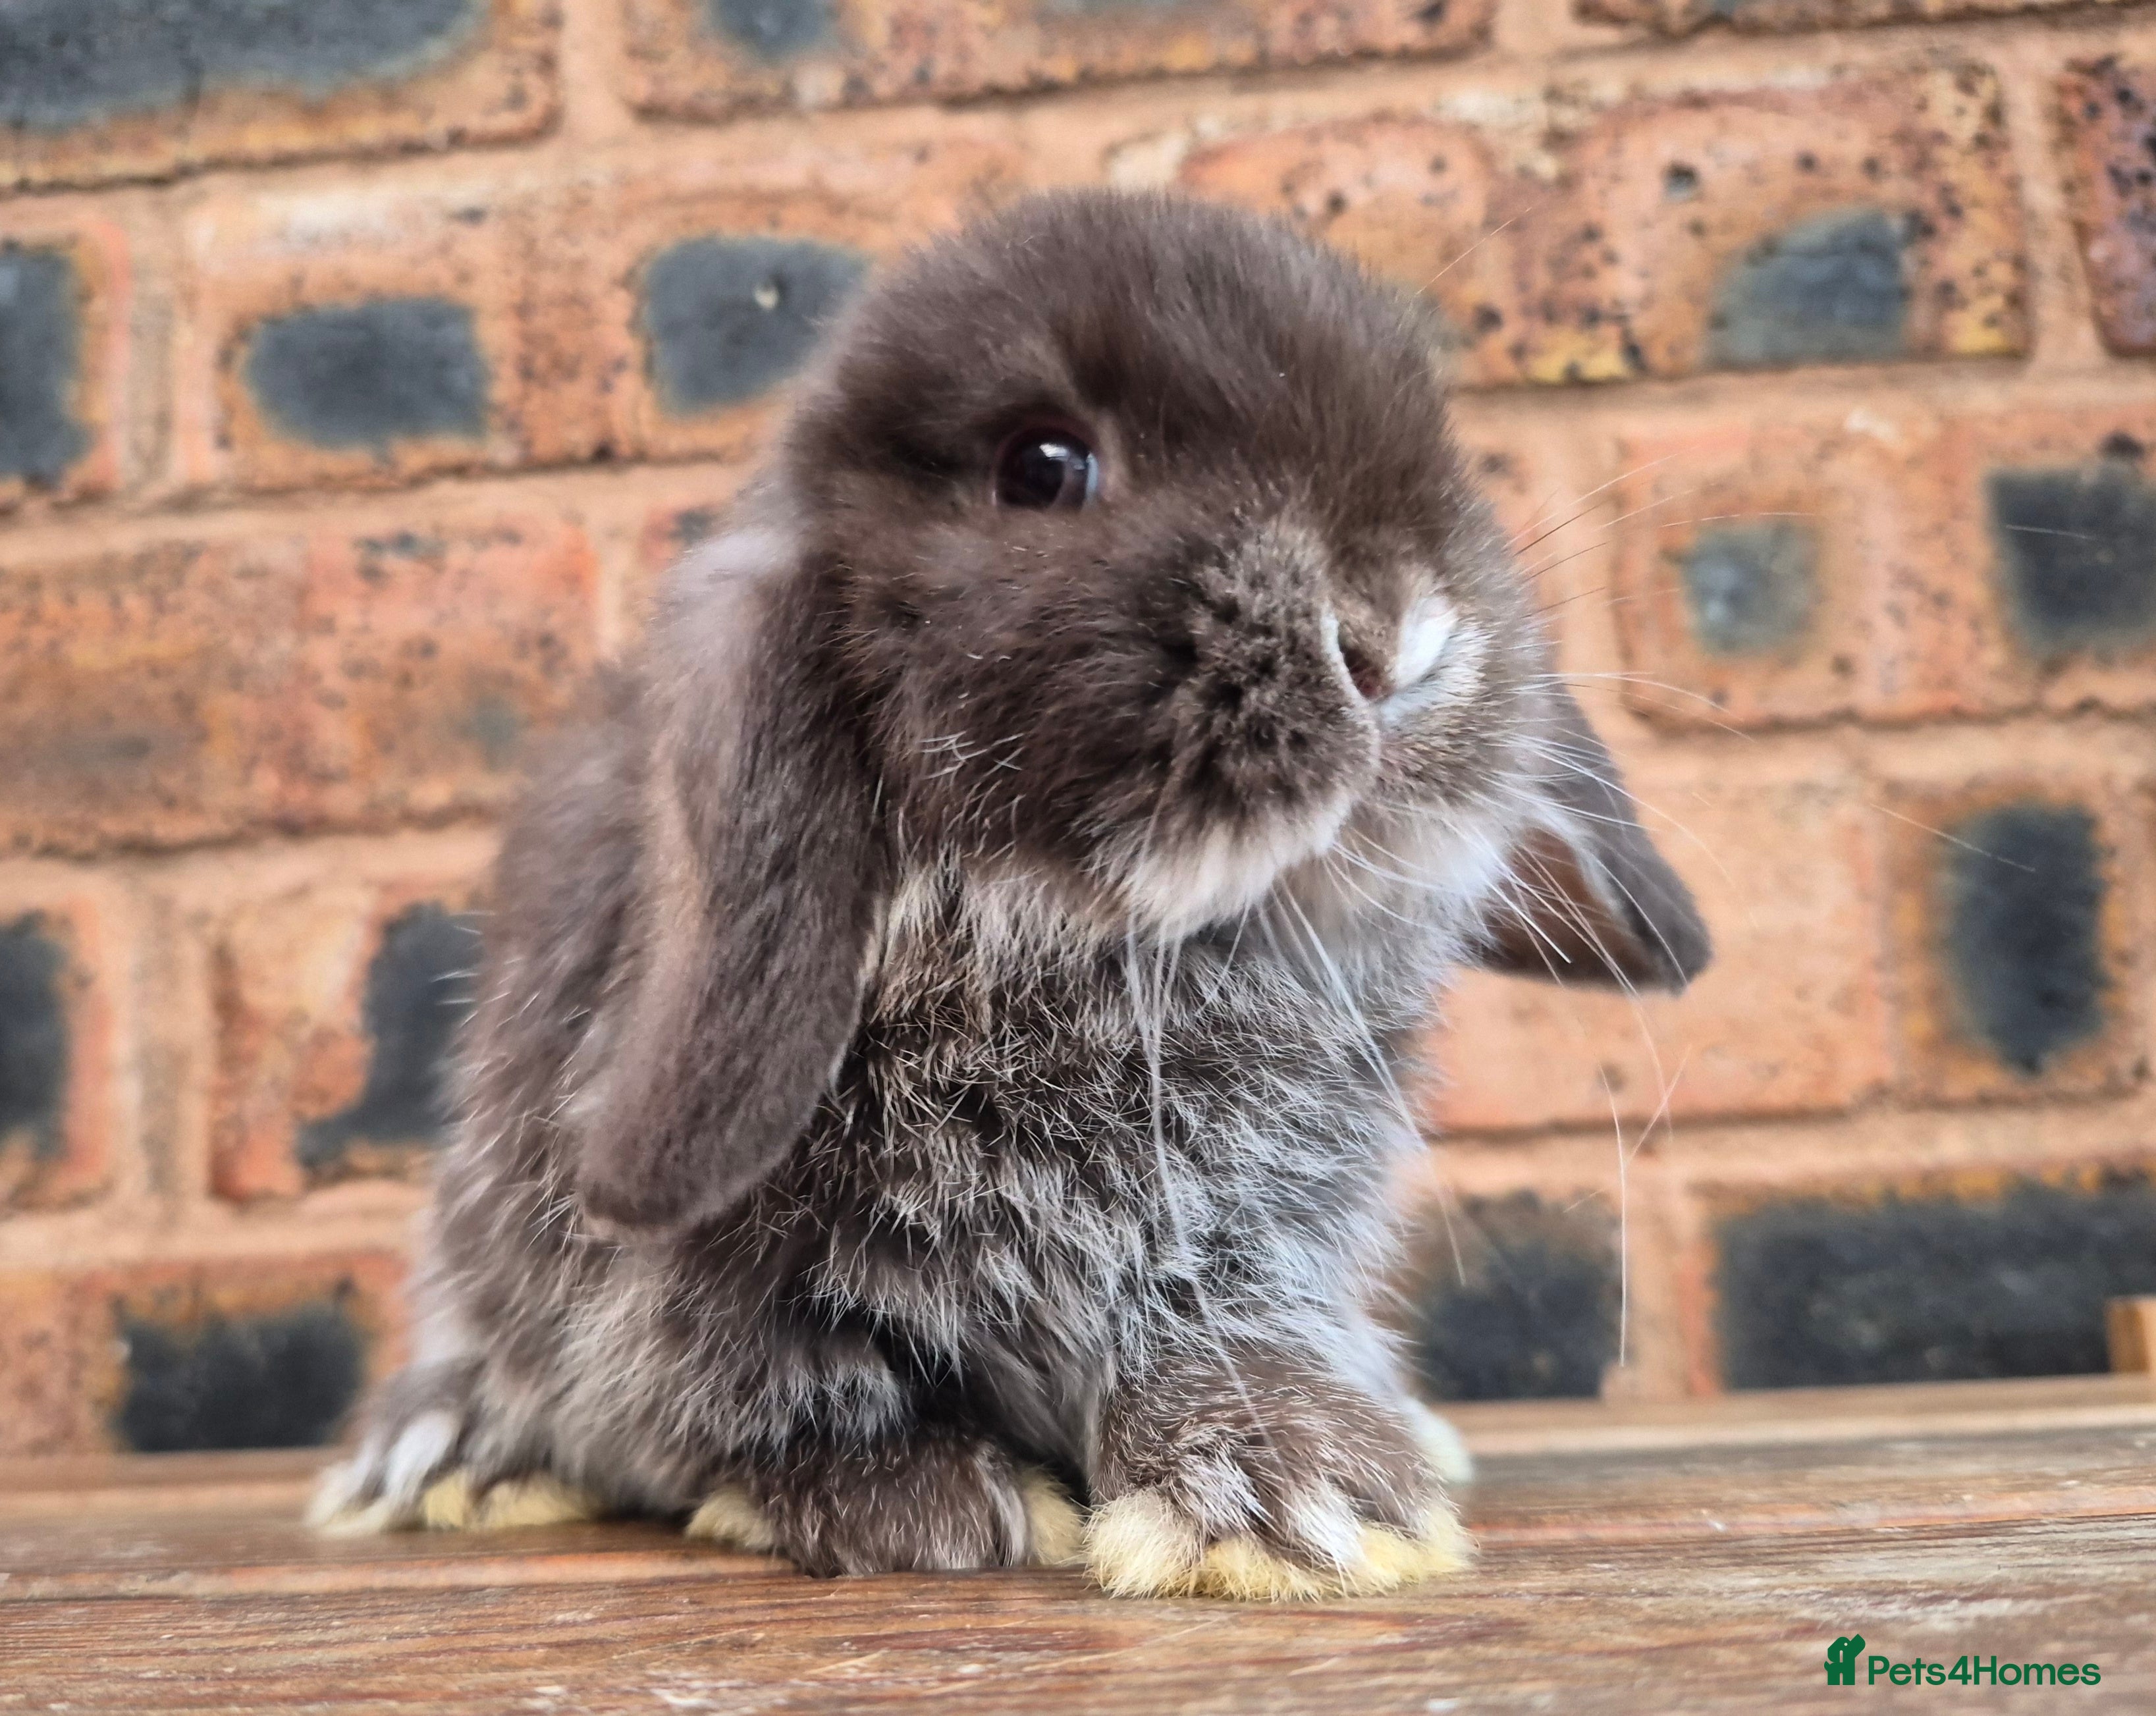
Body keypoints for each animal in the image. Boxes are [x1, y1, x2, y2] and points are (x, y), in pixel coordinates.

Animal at [309, 189, 1709, 1599]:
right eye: (1040, 468)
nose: (1396, 639)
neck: (1116, 941)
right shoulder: (705, 1272)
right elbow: (766, 1378)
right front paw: (913, 1500)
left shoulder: (1237, 1236)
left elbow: (1214, 1335)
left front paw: (1298, 1499)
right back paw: (447, 1457)